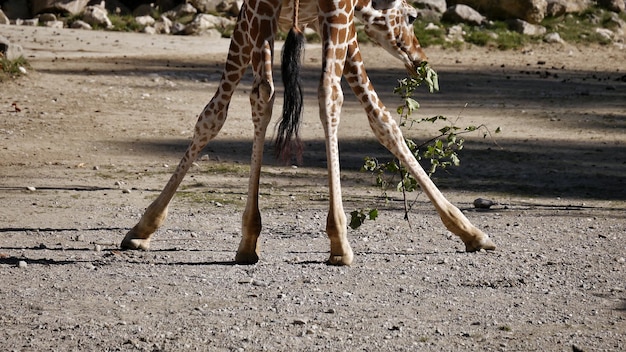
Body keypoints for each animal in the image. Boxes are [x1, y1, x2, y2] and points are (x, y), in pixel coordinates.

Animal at [119, 0, 494, 264]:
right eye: (413, 17)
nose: (420, 59)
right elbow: (212, 117)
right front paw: (143, 227)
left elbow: (381, 120)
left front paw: (469, 231)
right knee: (310, 93)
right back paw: (334, 241)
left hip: (288, 13)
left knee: (275, 93)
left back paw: (260, 239)